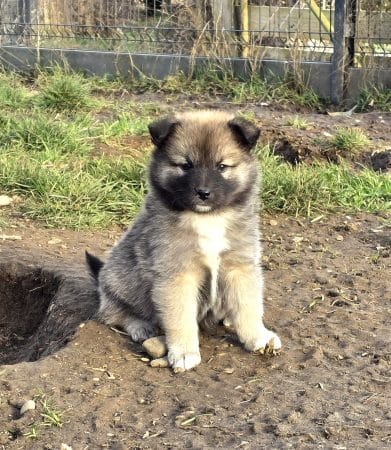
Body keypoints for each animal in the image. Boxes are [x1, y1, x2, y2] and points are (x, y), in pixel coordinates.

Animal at [86, 110, 282, 370]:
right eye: (186, 165)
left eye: (222, 166)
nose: (203, 193)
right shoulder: (177, 276)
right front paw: (184, 352)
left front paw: (258, 336)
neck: (208, 218)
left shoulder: (240, 267)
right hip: (118, 281)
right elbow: (180, 318)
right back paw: (140, 326)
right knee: (114, 312)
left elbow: (248, 306)